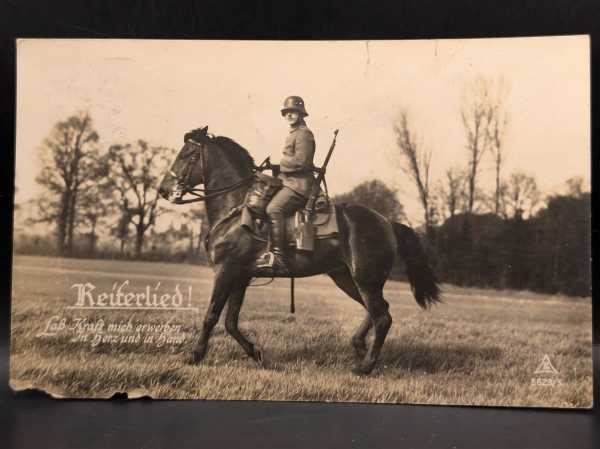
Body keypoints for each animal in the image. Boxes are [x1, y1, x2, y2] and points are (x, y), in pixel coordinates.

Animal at [159, 127, 440, 374]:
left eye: (186, 154)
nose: (163, 190)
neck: (237, 207)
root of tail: (387, 222)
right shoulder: (240, 276)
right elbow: (230, 322)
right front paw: (256, 354)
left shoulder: (226, 272)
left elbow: (212, 316)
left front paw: (195, 355)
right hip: (346, 278)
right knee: (378, 310)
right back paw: (359, 346)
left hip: (365, 280)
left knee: (382, 317)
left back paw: (365, 367)